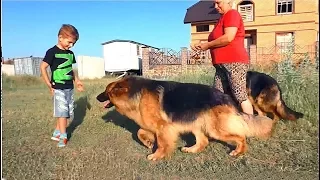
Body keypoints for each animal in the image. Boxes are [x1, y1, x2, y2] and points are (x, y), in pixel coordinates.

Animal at [96, 75, 274, 161]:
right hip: (197, 125)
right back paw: (191, 149)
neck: (136, 93)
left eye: (106, 91)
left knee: (241, 136)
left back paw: (238, 151)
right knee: (203, 142)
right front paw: (148, 143)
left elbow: (162, 143)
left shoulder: (163, 128)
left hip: (215, 129)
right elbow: (139, 132)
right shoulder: (151, 125)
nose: (97, 97)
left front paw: (157, 155)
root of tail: (225, 96)